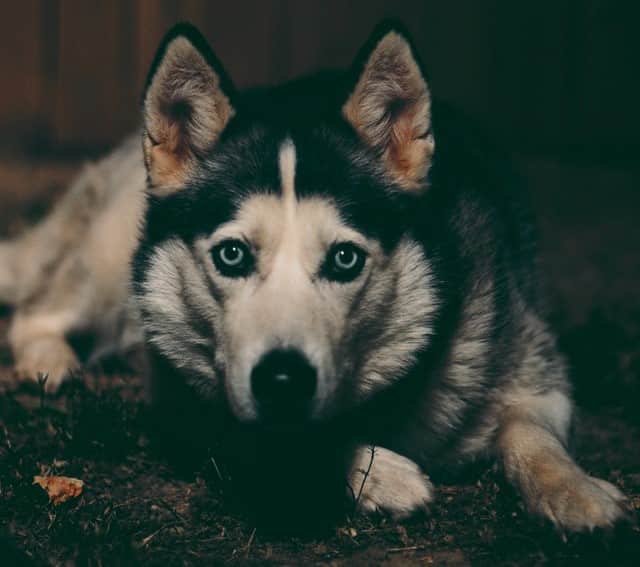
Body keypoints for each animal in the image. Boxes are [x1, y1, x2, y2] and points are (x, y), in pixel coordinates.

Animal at [0, 24, 632, 532]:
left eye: (345, 259)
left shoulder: (535, 368)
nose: (282, 380)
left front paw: (575, 492)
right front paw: (380, 473)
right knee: (36, 313)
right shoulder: (181, 399)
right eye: (231, 255)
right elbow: (270, 437)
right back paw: (51, 362)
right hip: (108, 264)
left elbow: (533, 436)